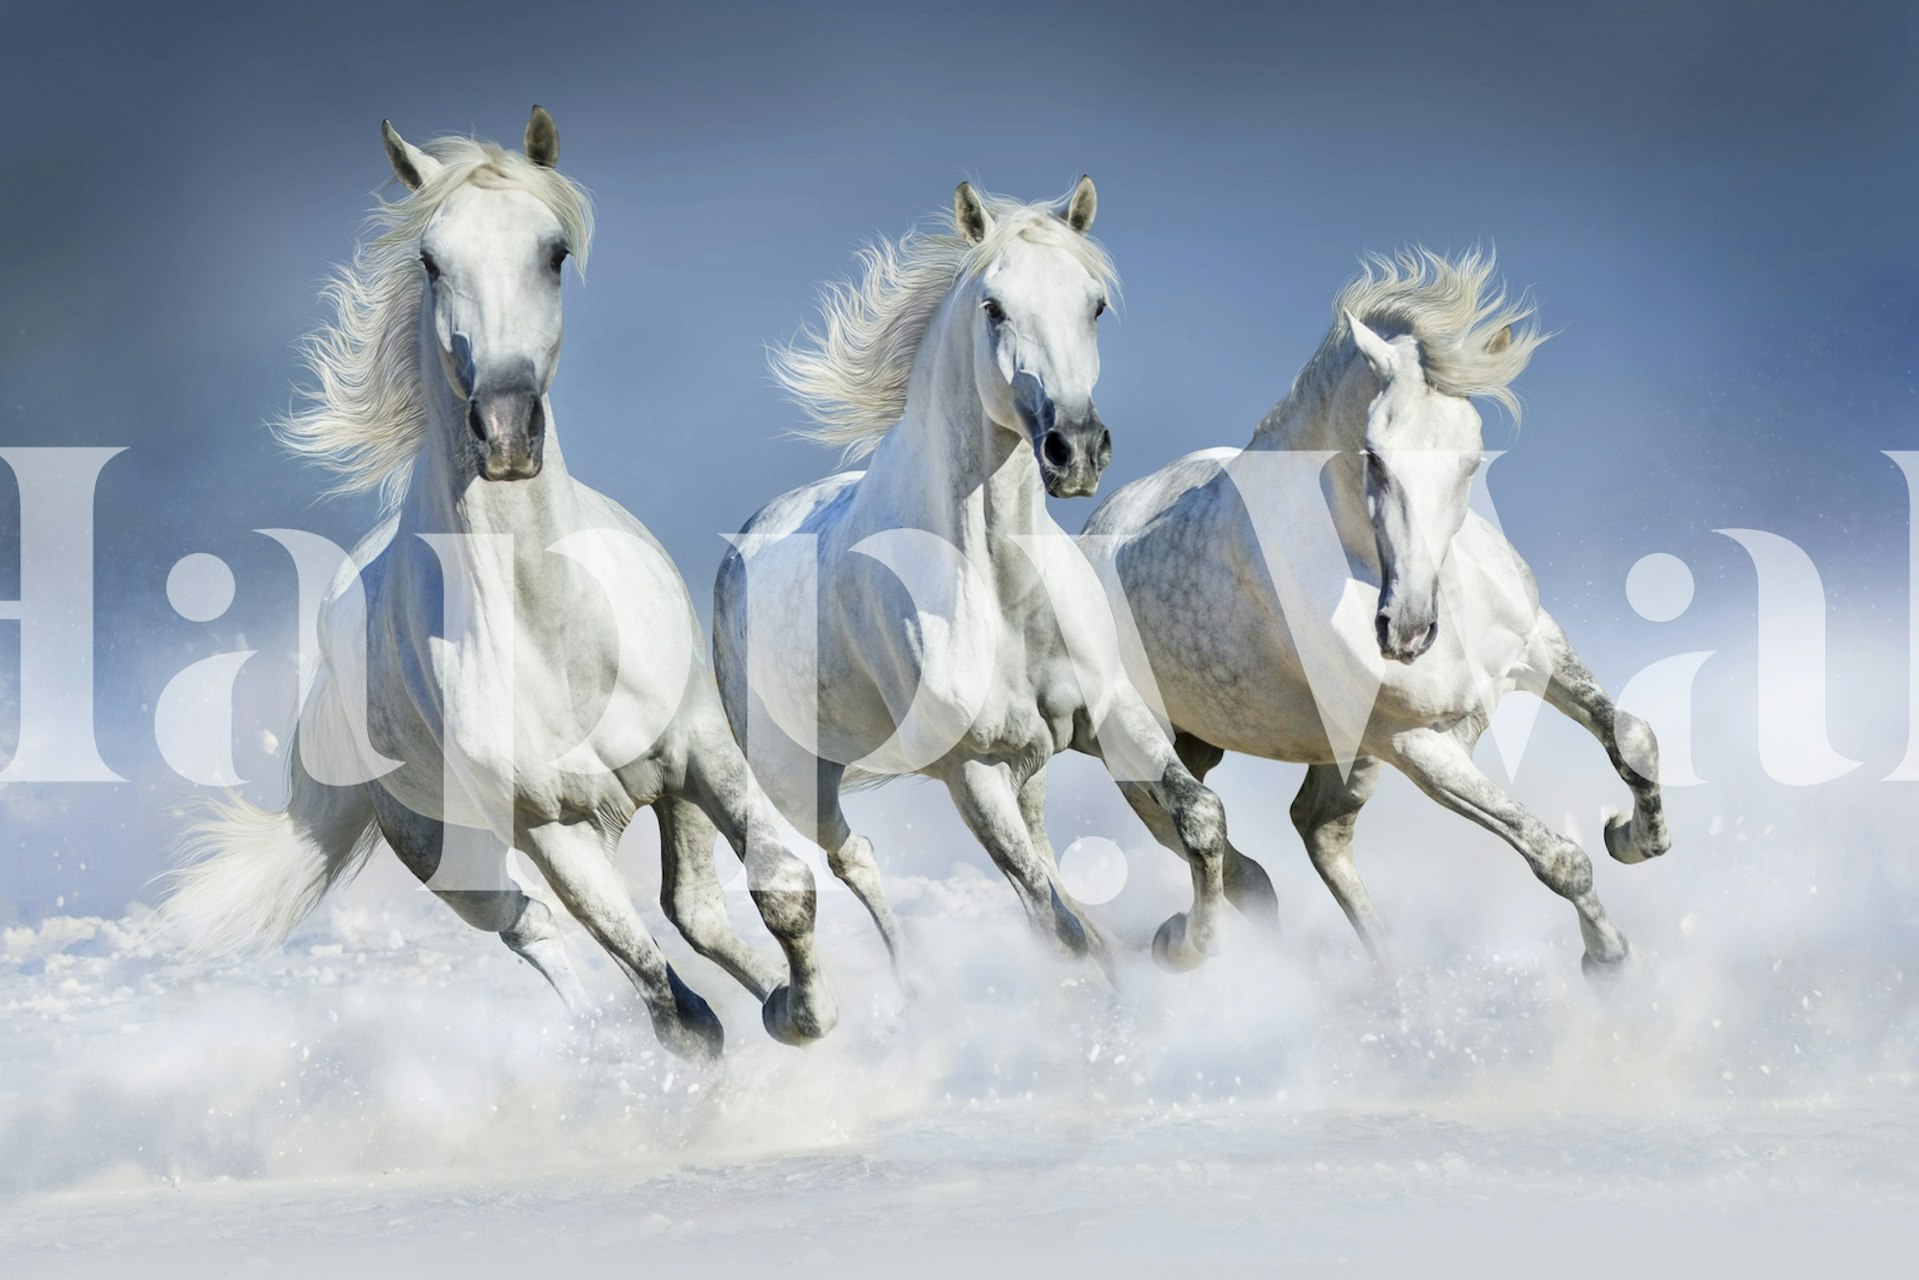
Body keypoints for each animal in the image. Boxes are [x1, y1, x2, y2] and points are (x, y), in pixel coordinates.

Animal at [163, 108, 838, 1058]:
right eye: (430, 260)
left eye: (553, 252)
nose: (507, 429)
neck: (552, 630)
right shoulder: (551, 826)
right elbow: (671, 1006)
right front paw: (769, 1030)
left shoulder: (700, 752)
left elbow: (780, 888)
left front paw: (805, 1013)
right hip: (451, 857)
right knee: (539, 930)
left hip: (665, 794)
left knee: (694, 910)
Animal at [713, 180, 1277, 980]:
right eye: (993, 306)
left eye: (1094, 305)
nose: (1075, 450)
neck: (1001, 589)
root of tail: (745, 543)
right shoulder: (970, 771)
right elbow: (1053, 923)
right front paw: (1163, 953)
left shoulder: (1114, 714)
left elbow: (1199, 819)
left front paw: (1182, 944)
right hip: (798, 778)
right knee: (855, 858)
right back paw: (913, 984)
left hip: (1027, 762)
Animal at [1081, 249, 1670, 978]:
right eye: (1374, 457)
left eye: (1471, 461)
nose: (1407, 632)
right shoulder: (1412, 743)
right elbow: (1557, 857)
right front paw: (1608, 959)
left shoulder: (1536, 647)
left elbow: (1633, 738)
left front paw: (1632, 838)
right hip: (1141, 747)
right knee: (1210, 839)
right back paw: (1190, 943)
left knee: (1317, 828)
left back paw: (1394, 977)